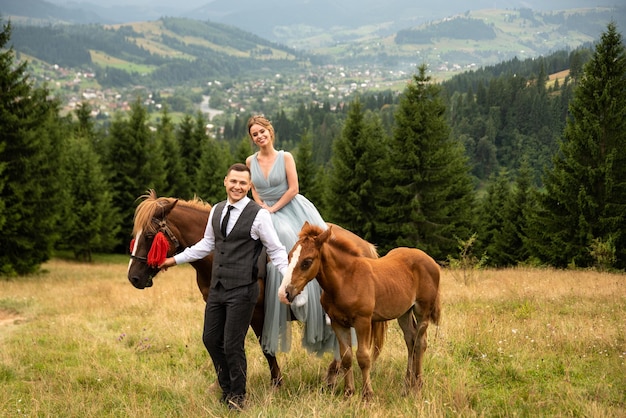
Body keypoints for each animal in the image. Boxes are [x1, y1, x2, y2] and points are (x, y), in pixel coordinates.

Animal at [126, 191, 382, 386]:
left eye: (149, 235)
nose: (134, 277)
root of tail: (365, 247)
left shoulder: (256, 313)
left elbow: (265, 348)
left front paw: (276, 383)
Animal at [280, 222, 442, 402]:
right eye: (289, 256)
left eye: (307, 262)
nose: (286, 292)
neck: (345, 280)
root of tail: (432, 261)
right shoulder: (338, 322)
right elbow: (346, 357)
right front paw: (348, 392)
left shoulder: (363, 321)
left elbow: (363, 357)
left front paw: (367, 394)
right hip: (404, 313)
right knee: (410, 340)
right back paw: (407, 386)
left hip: (422, 310)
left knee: (420, 342)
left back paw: (418, 386)